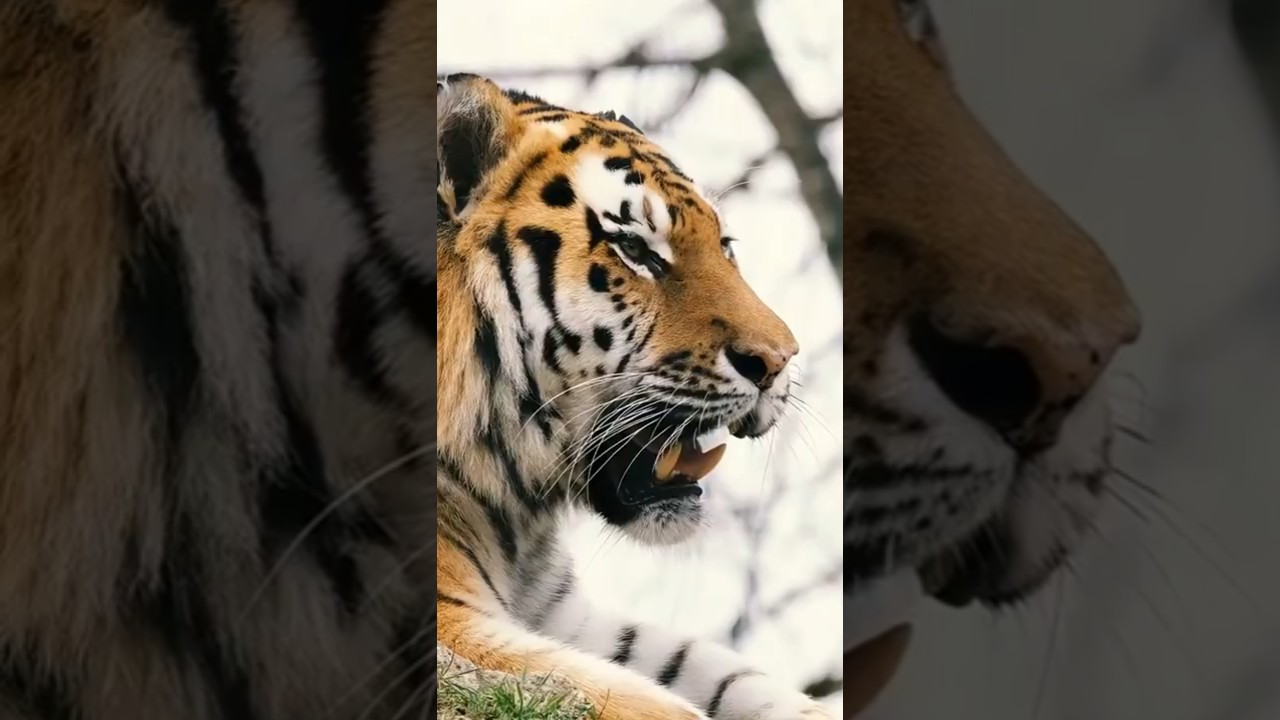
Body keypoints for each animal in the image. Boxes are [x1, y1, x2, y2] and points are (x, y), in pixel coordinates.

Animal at [435, 74, 833, 719]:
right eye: (637, 252)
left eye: (725, 244)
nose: (779, 362)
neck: (510, 514)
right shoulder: (452, 622)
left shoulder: (567, 616)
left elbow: (729, 673)